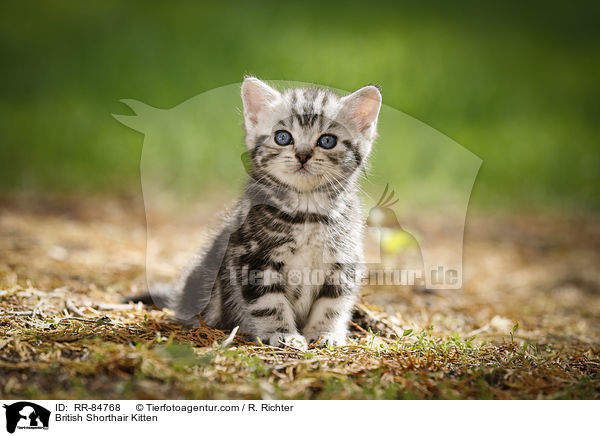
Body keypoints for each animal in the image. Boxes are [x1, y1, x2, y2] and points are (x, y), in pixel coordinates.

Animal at [166, 78, 380, 350]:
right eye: (283, 137)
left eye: (327, 141)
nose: (302, 155)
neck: (307, 213)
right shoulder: (252, 258)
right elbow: (269, 303)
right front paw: (283, 334)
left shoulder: (344, 260)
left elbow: (333, 303)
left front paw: (326, 332)